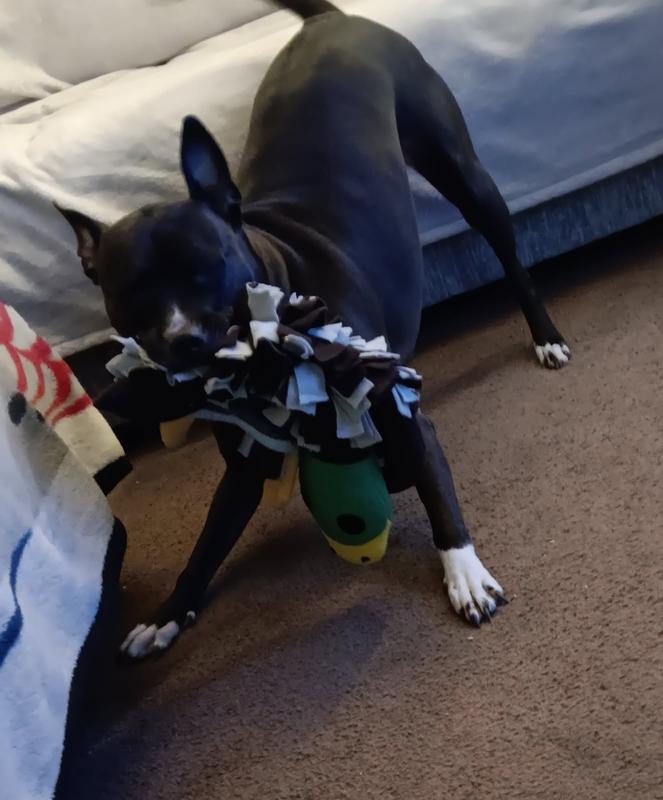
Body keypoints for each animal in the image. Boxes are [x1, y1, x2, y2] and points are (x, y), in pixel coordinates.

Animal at [58, 0, 570, 659]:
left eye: (209, 268)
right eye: (130, 296)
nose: (182, 340)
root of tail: (331, 19)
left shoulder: (400, 411)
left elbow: (437, 492)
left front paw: (464, 572)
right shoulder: (244, 462)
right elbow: (208, 541)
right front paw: (168, 614)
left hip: (464, 173)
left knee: (511, 258)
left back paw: (545, 335)